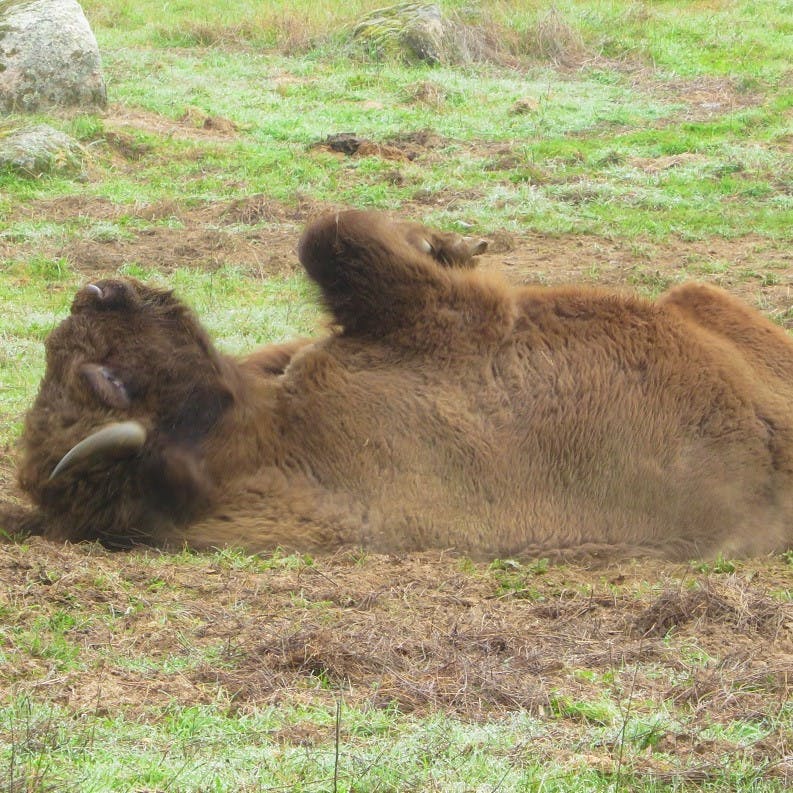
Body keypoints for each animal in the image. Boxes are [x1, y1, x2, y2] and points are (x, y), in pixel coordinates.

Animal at [9, 209, 792, 556]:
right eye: (106, 381)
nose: (96, 292)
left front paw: (452, 241)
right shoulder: (442, 319)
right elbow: (333, 236)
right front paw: (445, 244)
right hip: (701, 300)